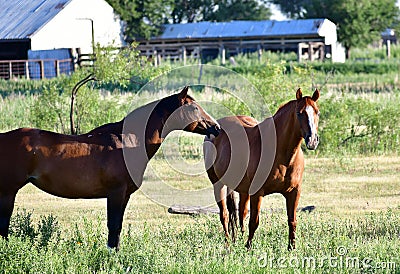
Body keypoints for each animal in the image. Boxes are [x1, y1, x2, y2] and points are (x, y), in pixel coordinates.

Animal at [0, 86, 219, 249]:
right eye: (193, 108)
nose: (216, 127)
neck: (128, 141)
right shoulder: (115, 193)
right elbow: (113, 226)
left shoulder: (124, 195)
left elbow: (118, 227)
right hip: (8, 192)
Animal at [205, 88, 320, 250]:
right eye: (299, 113)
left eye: (317, 112)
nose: (312, 140)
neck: (282, 154)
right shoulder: (257, 193)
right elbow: (254, 222)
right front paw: (248, 248)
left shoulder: (294, 192)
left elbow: (292, 221)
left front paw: (291, 248)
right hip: (218, 185)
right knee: (225, 215)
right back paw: (228, 244)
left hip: (242, 190)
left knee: (241, 213)